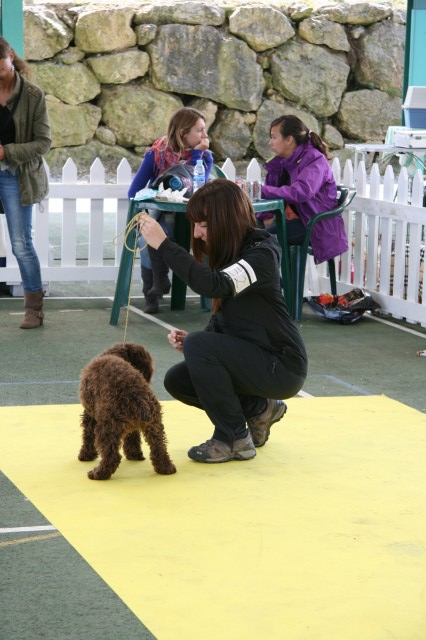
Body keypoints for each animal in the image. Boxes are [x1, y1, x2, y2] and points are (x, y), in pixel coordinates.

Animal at [78, 342, 176, 480]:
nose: (148, 380)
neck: (115, 355)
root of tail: (138, 399)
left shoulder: (90, 414)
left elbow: (87, 437)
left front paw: (86, 455)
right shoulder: (133, 427)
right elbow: (133, 439)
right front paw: (134, 455)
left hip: (107, 428)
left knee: (112, 456)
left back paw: (98, 473)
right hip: (154, 427)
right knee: (159, 450)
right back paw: (166, 469)